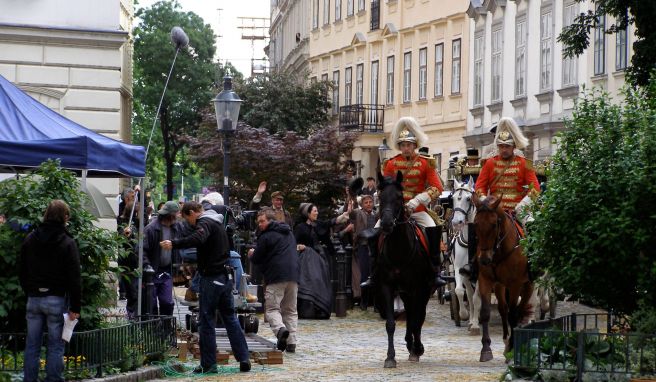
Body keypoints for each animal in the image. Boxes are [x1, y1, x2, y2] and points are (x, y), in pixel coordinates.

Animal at [374, 172, 436, 368]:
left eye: (399, 197)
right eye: (380, 196)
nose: (386, 224)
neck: (398, 250)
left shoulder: (418, 287)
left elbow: (416, 320)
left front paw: (417, 350)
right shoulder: (387, 286)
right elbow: (390, 324)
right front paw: (390, 357)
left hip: (424, 289)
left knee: (418, 316)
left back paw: (416, 347)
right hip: (405, 291)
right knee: (409, 313)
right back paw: (410, 344)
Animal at [472, 194, 532, 362]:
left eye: (493, 225)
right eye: (476, 224)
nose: (484, 260)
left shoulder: (515, 284)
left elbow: (513, 314)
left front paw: (512, 348)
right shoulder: (485, 280)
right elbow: (485, 312)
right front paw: (486, 348)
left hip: (529, 284)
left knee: (520, 309)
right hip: (499, 285)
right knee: (503, 309)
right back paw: (505, 341)